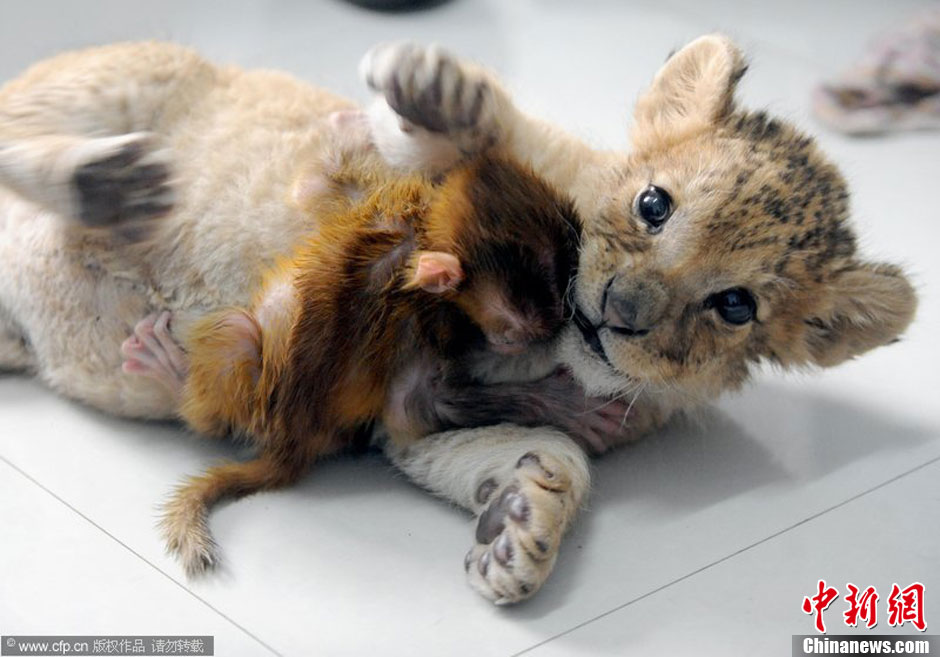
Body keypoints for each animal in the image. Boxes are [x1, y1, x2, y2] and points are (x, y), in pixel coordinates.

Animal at [123, 137, 580, 568]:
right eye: (516, 324)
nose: (556, 319)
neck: (416, 235)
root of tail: (289, 444)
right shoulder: (382, 226)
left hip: (254, 391)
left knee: (236, 339)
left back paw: (171, 375)